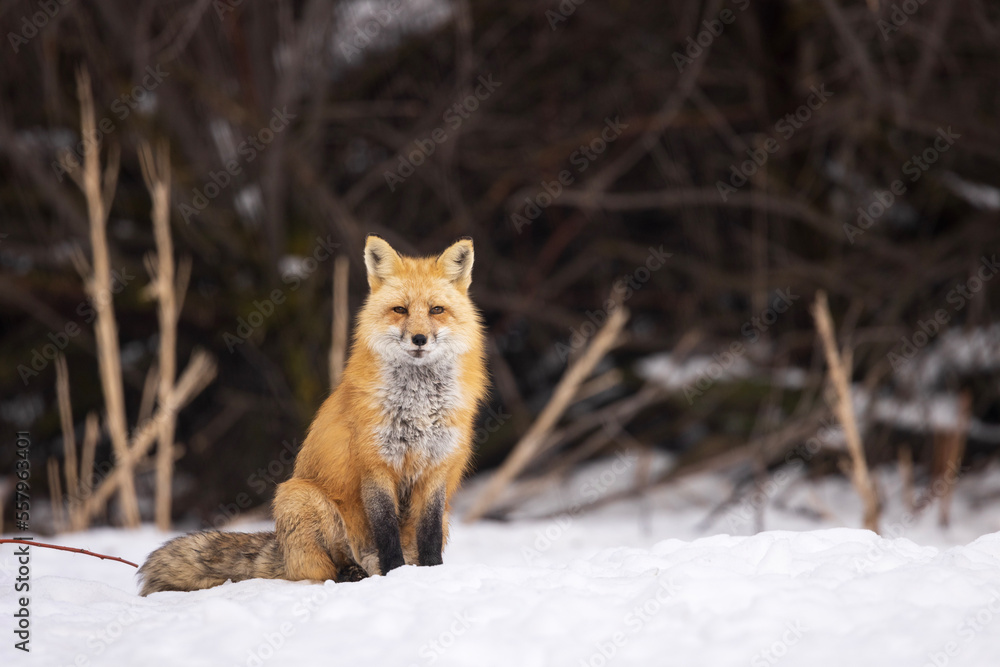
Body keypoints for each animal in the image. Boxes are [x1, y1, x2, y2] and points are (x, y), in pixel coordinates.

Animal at [139, 235, 488, 595]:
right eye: (400, 310)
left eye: (436, 310)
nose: (419, 339)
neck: (418, 407)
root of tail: (282, 549)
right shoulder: (375, 467)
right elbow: (387, 533)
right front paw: (396, 576)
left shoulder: (436, 469)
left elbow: (428, 536)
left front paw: (431, 575)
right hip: (299, 496)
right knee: (326, 567)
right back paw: (353, 574)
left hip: (441, 515)